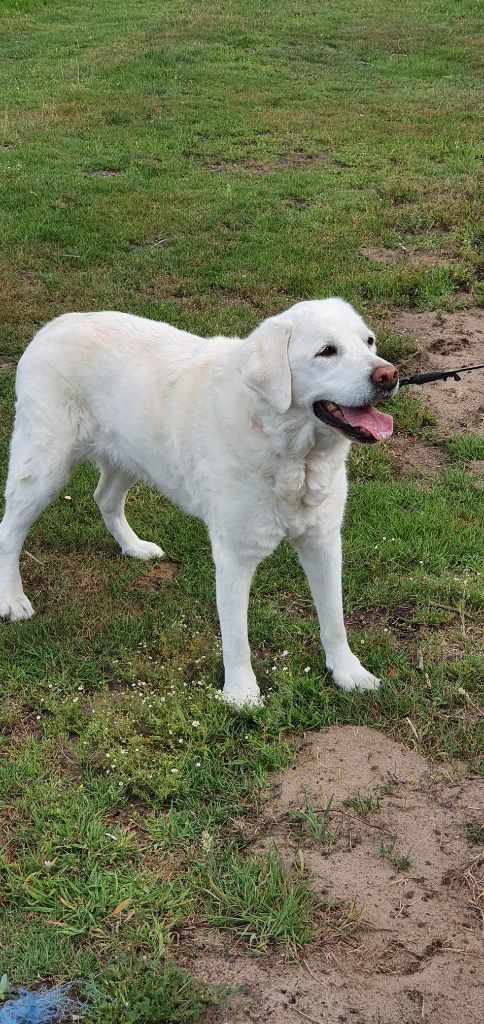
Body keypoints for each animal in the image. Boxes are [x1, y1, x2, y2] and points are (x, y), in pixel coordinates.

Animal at [0, 296, 397, 708]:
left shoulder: (323, 542)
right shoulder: (235, 556)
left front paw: (348, 672)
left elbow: (334, 619)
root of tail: (57, 323)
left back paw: (134, 547)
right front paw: (241, 695)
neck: (290, 451)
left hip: (132, 455)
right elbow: (237, 637)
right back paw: (12, 600)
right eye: (327, 351)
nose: (389, 375)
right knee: (9, 531)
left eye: (369, 342)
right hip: (43, 469)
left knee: (104, 498)